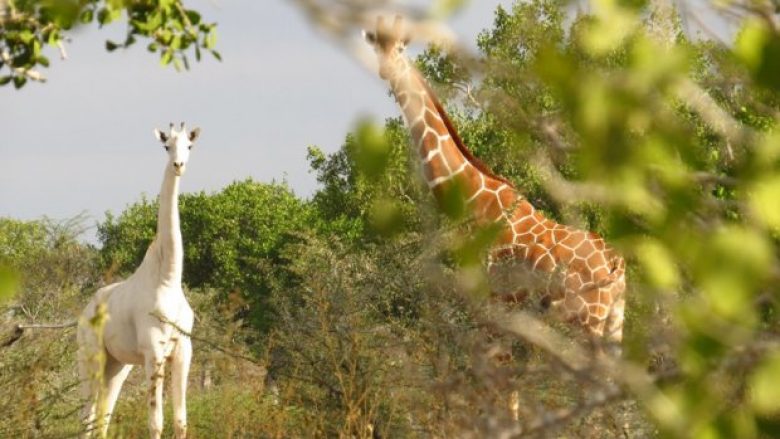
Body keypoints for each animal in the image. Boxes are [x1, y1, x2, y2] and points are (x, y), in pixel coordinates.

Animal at [76, 124, 200, 439]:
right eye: (166, 146)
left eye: (189, 146)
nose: (179, 165)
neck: (167, 279)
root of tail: (84, 312)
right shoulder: (153, 350)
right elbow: (156, 421)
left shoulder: (183, 350)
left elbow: (181, 421)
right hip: (91, 357)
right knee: (87, 416)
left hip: (117, 365)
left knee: (103, 418)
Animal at [362, 16, 624, 348]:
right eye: (376, 45)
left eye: (400, 47)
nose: (386, 70)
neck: (475, 198)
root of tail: (614, 262)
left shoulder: (492, 300)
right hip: (614, 322)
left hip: (587, 319)